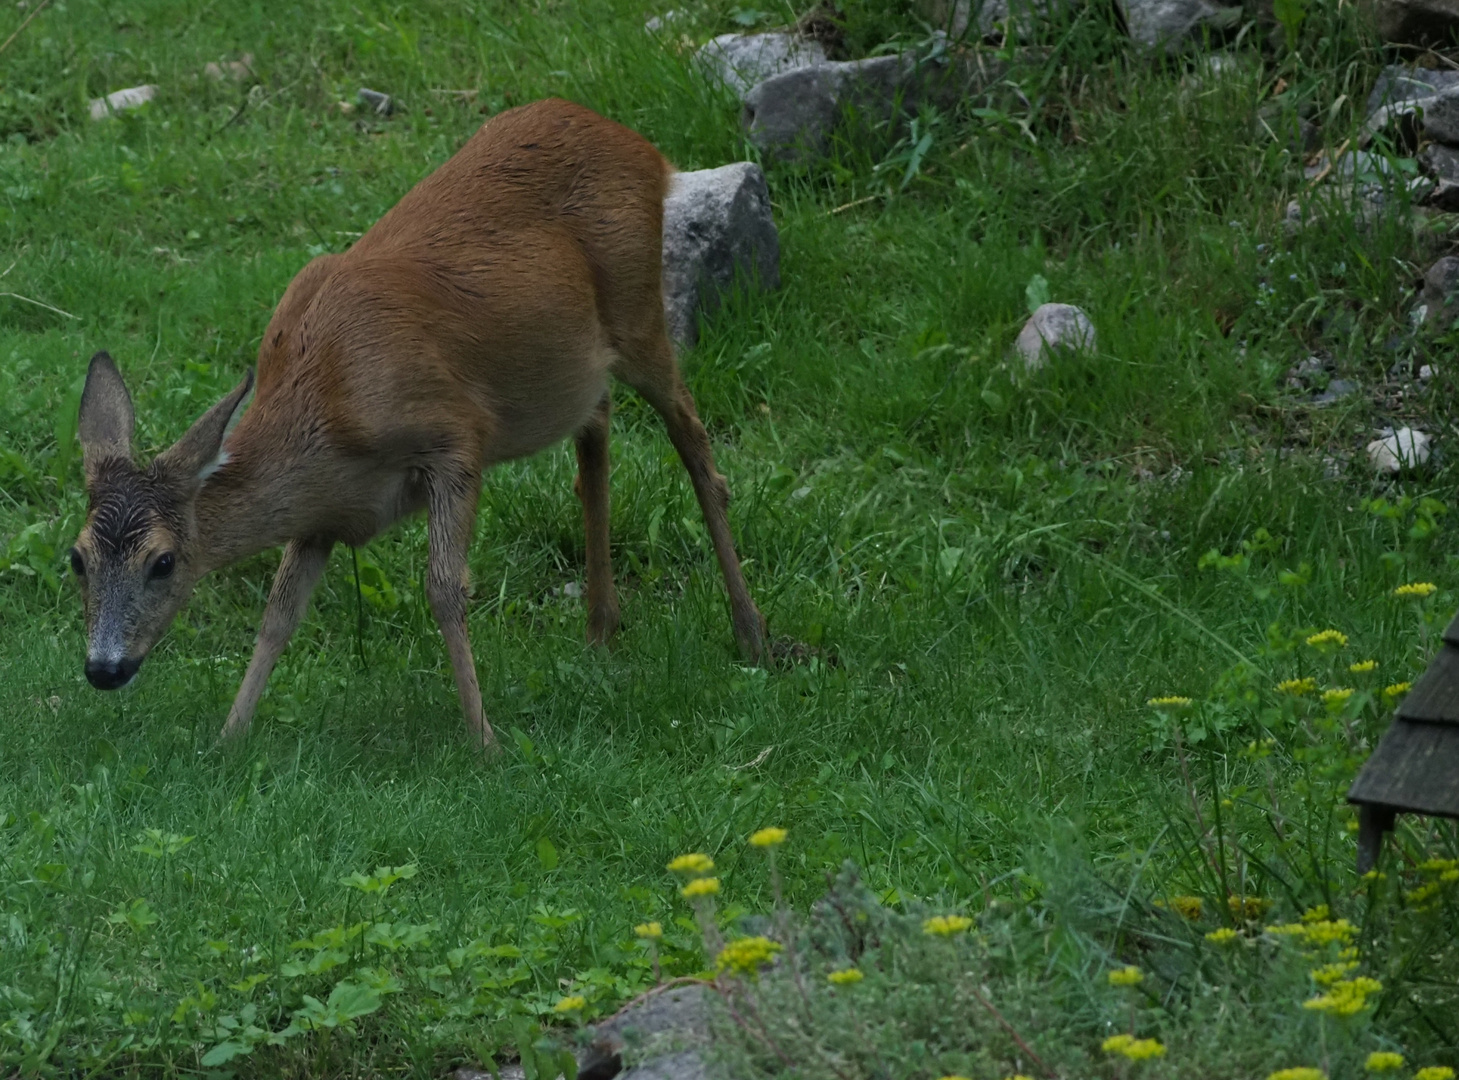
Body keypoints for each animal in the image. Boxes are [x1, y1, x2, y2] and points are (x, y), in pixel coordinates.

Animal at [69, 97, 770, 747]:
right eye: (77, 559)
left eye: (162, 562)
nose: (102, 669)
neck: (328, 404)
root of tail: (648, 154)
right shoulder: (324, 513)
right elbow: (280, 611)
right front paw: (229, 738)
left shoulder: (454, 438)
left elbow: (443, 588)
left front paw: (485, 742)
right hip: (579, 368)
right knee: (596, 431)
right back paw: (601, 628)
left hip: (641, 313)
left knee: (694, 442)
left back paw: (752, 632)